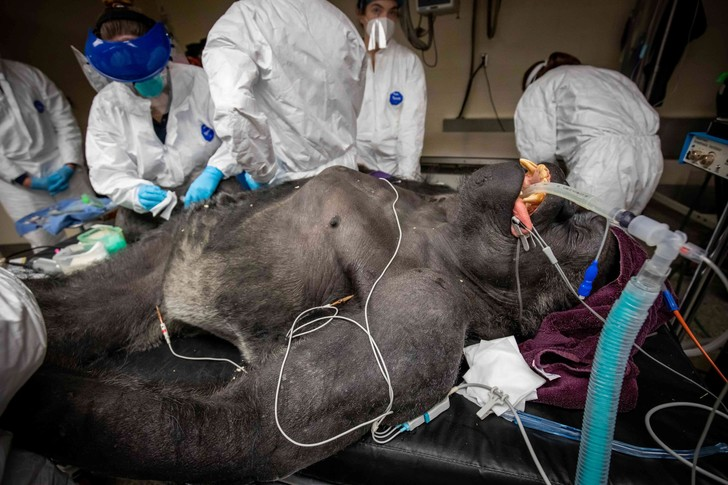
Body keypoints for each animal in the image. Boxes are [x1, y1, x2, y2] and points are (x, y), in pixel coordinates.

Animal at [5, 160, 620, 480]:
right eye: (569, 219)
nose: (566, 196)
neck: (444, 237)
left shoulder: (427, 317)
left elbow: (240, 429)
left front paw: (27, 395)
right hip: (165, 256)